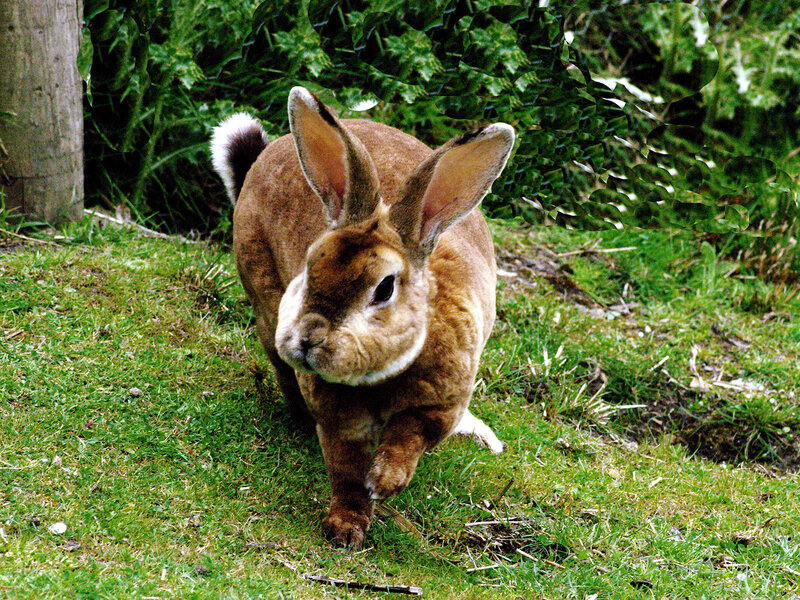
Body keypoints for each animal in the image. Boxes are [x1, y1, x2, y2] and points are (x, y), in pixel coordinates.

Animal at [211, 87, 514, 549]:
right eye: (310, 266)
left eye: (384, 288)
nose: (308, 339)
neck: (378, 376)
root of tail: (270, 150)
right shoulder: (339, 420)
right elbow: (345, 470)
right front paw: (345, 528)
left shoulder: (439, 404)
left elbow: (410, 438)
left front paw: (384, 482)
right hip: (263, 304)